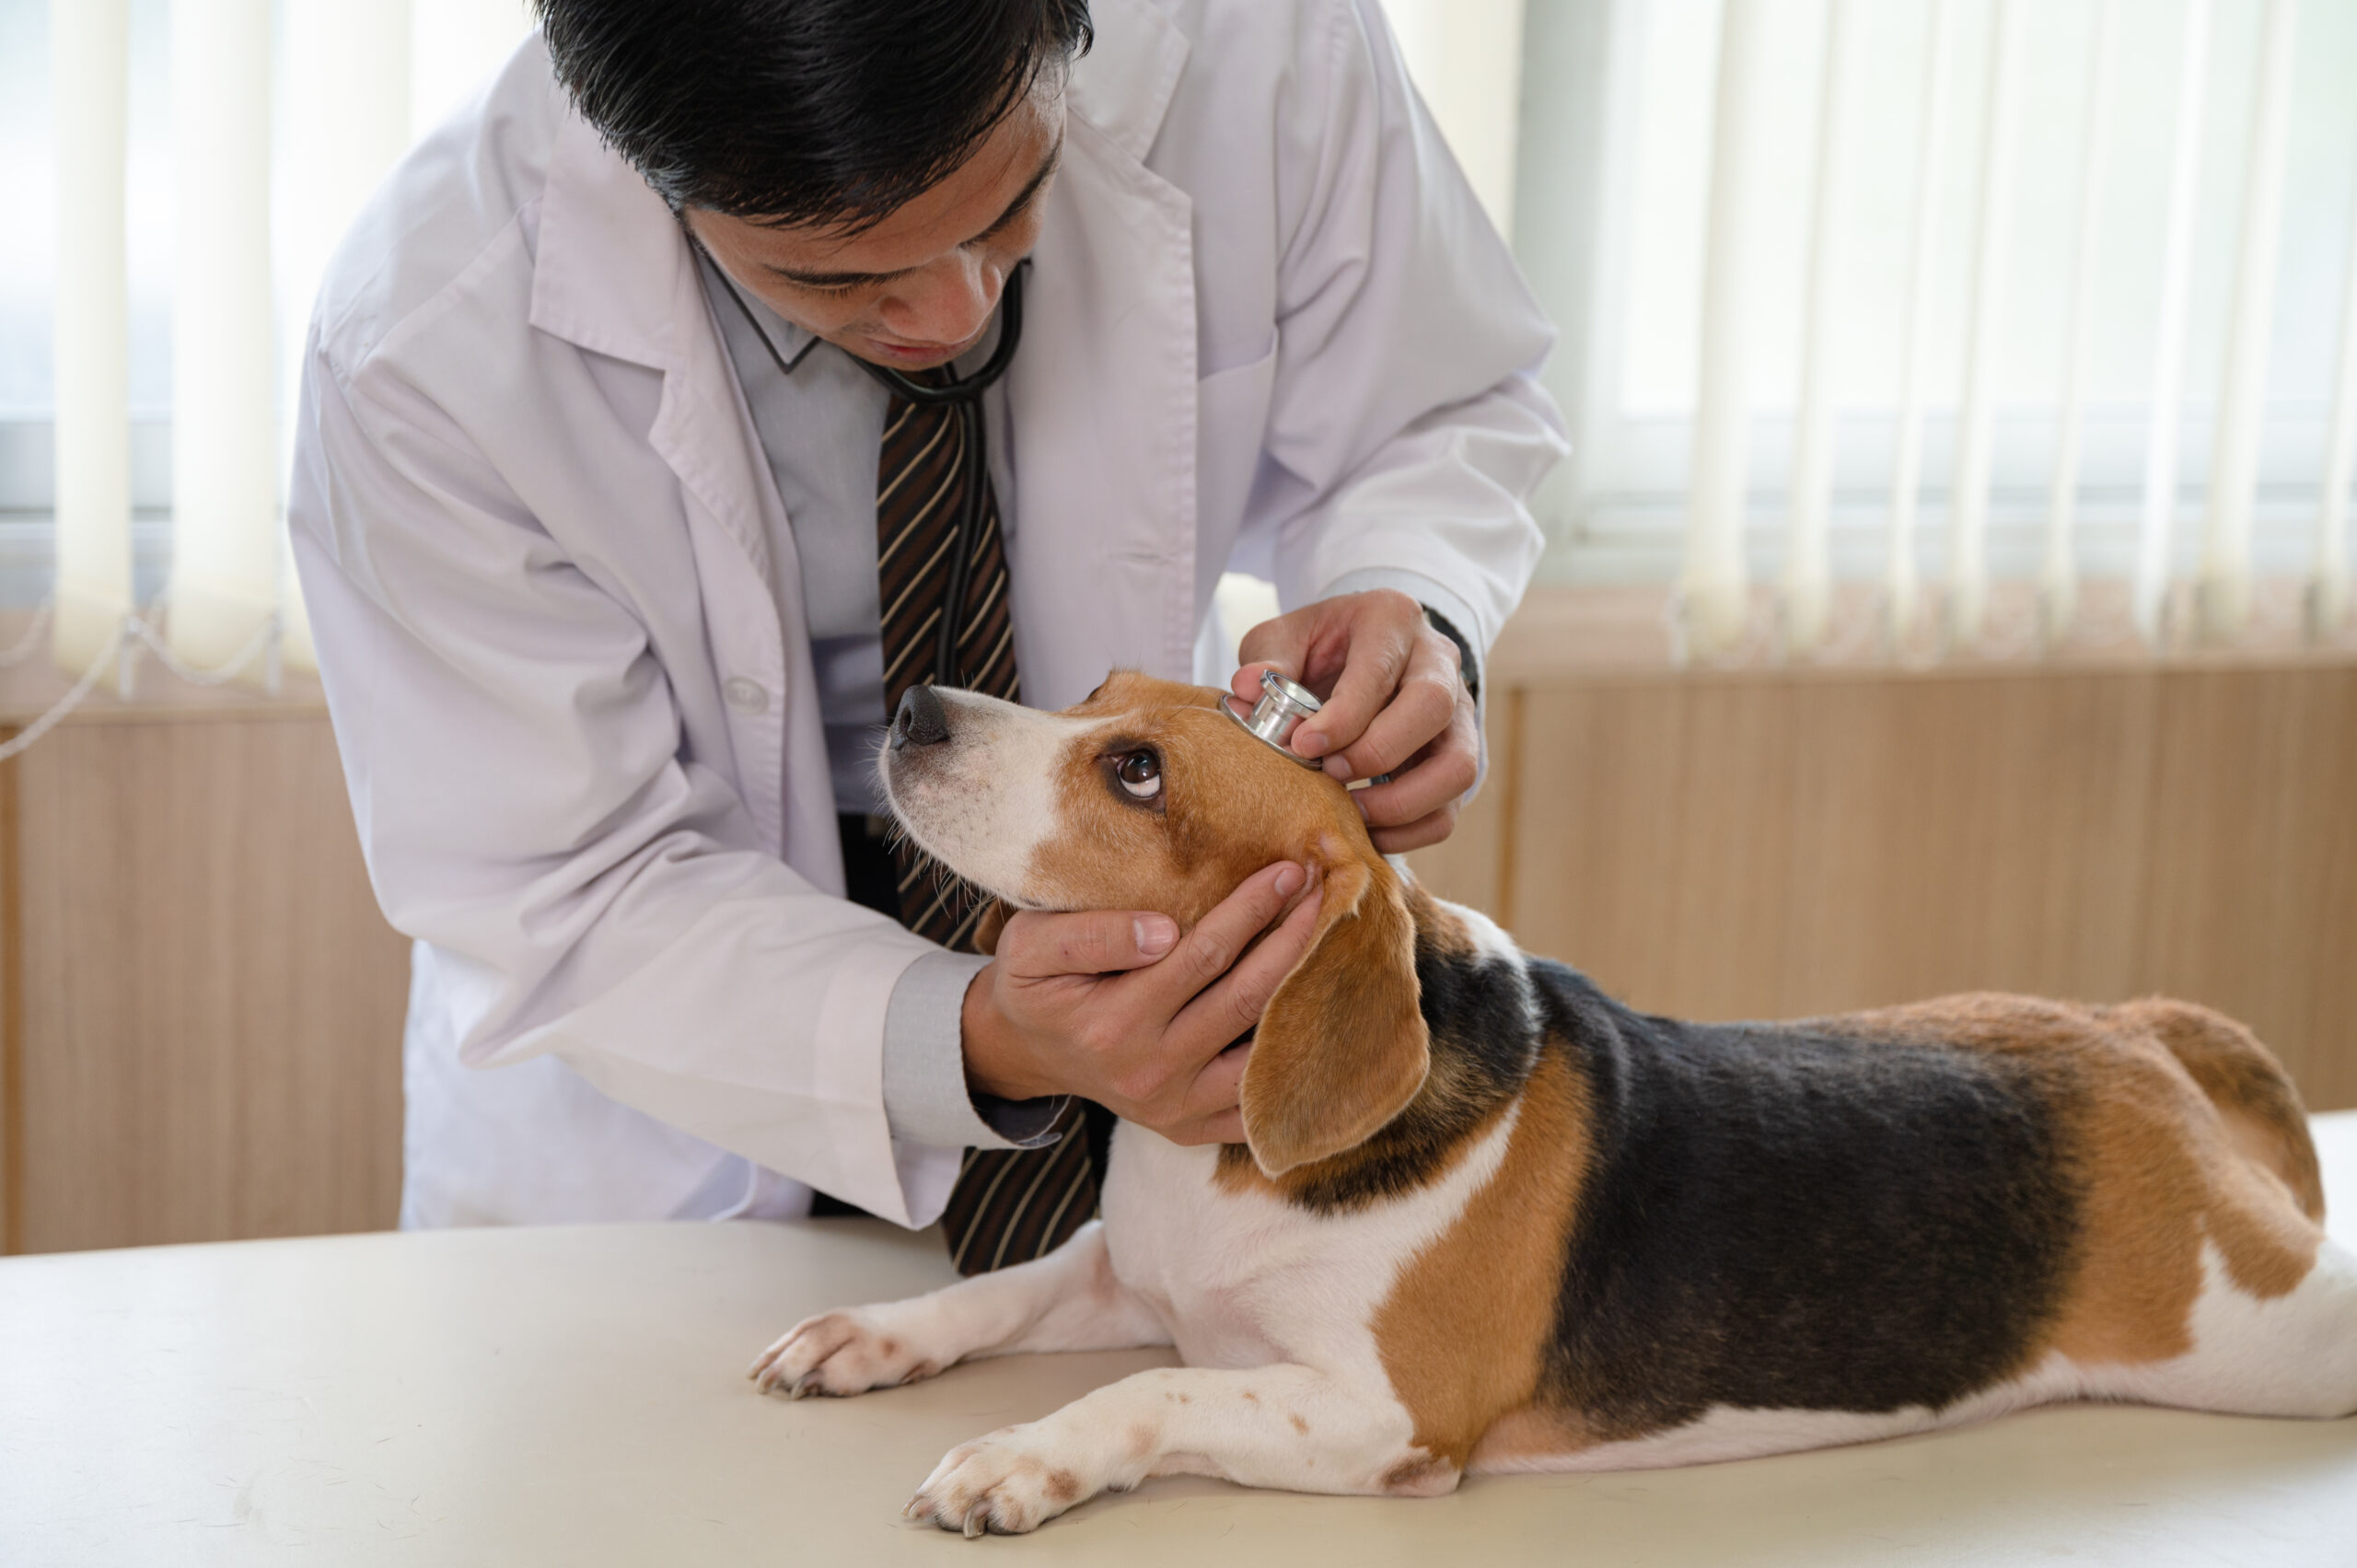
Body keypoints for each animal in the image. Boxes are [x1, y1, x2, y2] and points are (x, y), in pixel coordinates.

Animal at [754, 669, 2357, 1527]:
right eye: (1093, 693)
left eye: (1138, 769)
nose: (914, 705)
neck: (1218, 1162)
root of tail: (2124, 1032)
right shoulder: (1127, 1273)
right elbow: (997, 1294)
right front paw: (864, 1332)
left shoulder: (1379, 1415)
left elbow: (1151, 1386)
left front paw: (1022, 1457)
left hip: (2260, 1325)